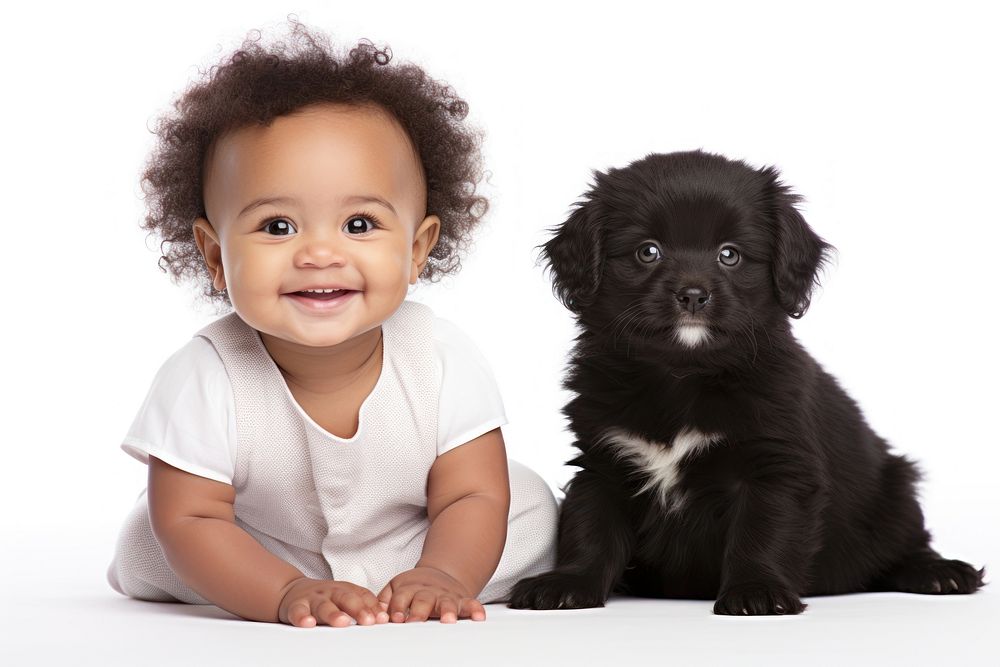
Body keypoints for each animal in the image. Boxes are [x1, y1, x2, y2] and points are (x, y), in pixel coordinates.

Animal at [512, 150, 988, 616]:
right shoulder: (603, 464)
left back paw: (939, 572)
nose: (692, 294)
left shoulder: (774, 467)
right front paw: (568, 583)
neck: (682, 374)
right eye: (648, 252)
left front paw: (756, 590)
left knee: (908, 544)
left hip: (896, 490)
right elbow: (590, 528)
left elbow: (762, 533)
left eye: (730, 255)